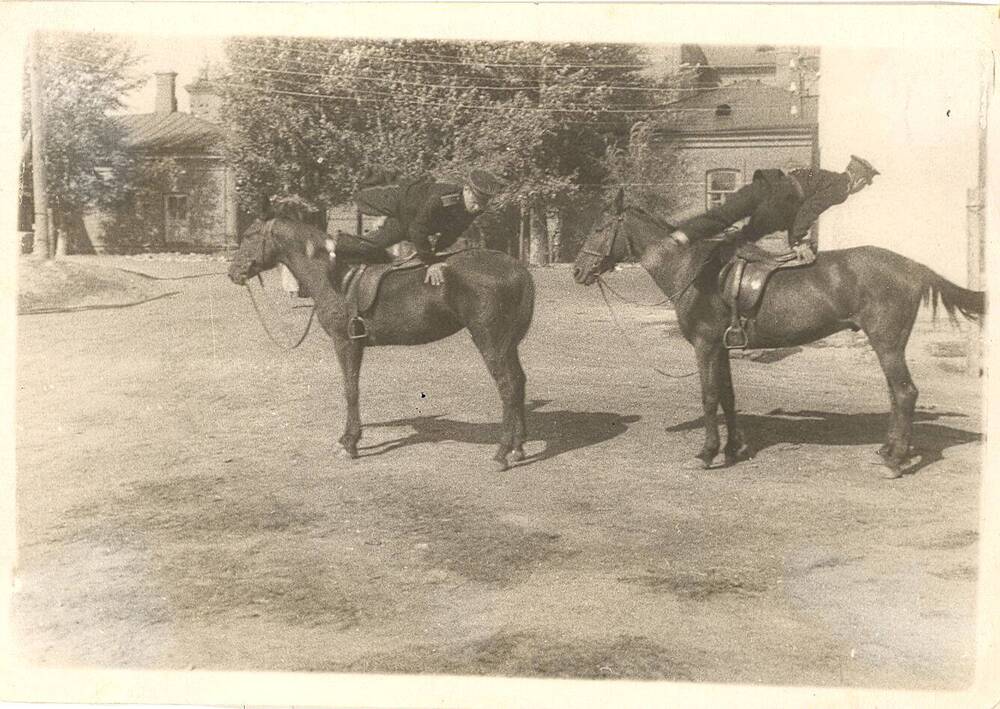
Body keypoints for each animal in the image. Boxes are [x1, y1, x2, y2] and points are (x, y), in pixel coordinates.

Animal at [229, 216, 536, 470]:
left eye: (249, 236)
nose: (233, 273)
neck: (337, 278)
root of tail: (517, 269)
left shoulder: (346, 343)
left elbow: (350, 390)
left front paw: (349, 443)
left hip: (490, 340)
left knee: (508, 386)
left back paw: (501, 453)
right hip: (508, 344)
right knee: (519, 382)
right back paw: (517, 449)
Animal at [576, 188, 980, 478]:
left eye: (599, 228)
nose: (579, 270)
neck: (694, 272)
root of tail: (914, 266)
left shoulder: (706, 346)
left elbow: (709, 398)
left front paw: (706, 454)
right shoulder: (723, 348)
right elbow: (728, 397)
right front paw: (733, 450)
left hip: (887, 342)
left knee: (905, 393)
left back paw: (895, 462)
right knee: (896, 395)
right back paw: (889, 450)